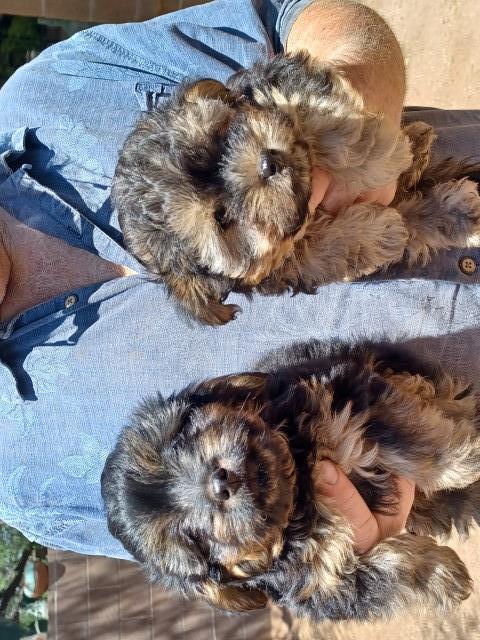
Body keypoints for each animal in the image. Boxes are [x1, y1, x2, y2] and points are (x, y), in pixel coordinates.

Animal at [100, 342, 480, 624]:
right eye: (193, 541)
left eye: (180, 437)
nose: (220, 482)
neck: (299, 487)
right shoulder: (324, 584)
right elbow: (383, 575)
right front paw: (445, 576)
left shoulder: (344, 403)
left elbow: (412, 444)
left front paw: (465, 460)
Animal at [111, 50, 480, 322]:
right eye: (222, 219)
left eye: (220, 136)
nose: (268, 162)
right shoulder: (288, 266)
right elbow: (322, 248)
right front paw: (380, 231)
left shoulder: (277, 82)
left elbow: (305, 113)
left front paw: (374, 157)